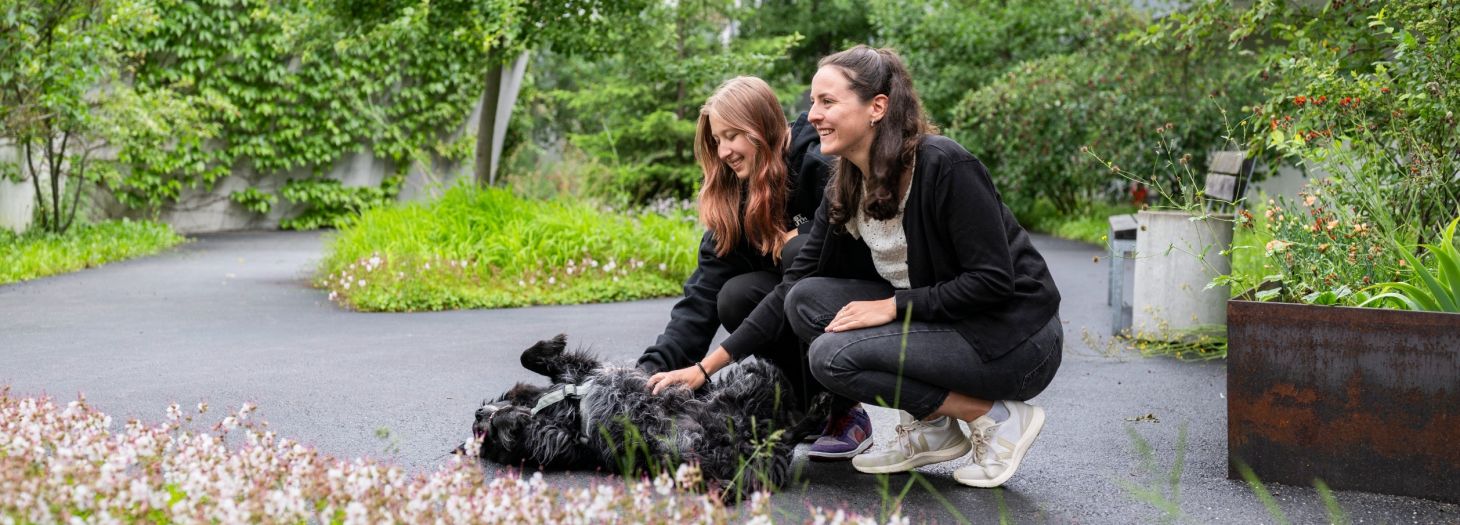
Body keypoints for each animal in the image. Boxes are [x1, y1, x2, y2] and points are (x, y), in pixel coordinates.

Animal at [467, 333, 835, 498]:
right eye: (479, 433)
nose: (478, 413)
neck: (556, 404)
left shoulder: (580, 373)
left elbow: (532, 358)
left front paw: (551, 345)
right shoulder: (557, 441)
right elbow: (527, 434)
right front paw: (509, 422)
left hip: (753, 377)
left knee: (786, 426)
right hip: (751, 383)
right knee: (784, 433)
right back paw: (817, 411)